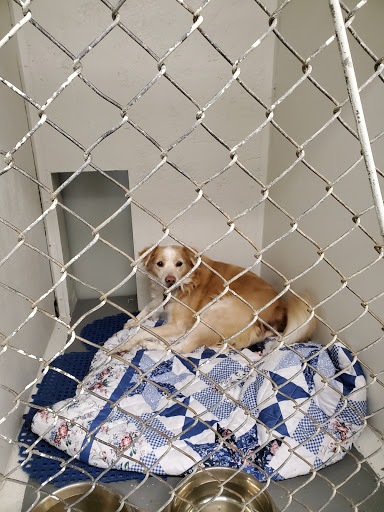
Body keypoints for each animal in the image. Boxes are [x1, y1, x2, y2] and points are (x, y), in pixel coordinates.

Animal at [114, 246, 318, 354]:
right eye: (159, 263)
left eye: (179, 264)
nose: (170, 279)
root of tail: (279, 310)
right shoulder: (159, 300)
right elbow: (148, 307)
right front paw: (133, 320)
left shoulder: (179, 323)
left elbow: (144, 331)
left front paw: (128, 343)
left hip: (214, 312)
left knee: (184, 347)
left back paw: (151, 345)